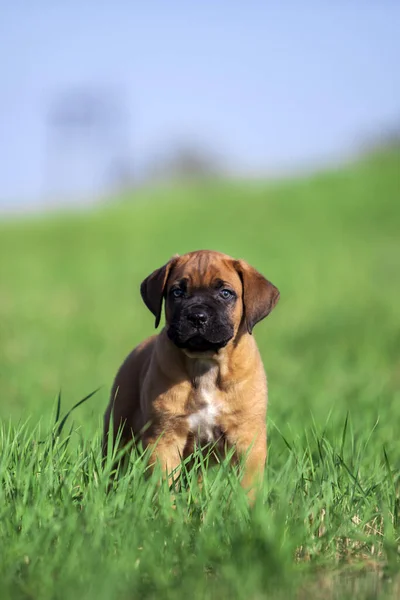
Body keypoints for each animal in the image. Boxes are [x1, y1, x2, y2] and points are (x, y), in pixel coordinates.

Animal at [102, 248, 278, 496]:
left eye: (225, 293)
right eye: (177, 292)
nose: (197, 316)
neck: (206, 364)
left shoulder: (247, 440)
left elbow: (248, 487)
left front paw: (248, 507)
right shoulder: (164, 439)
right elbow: (164, 487)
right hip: (118, 433)